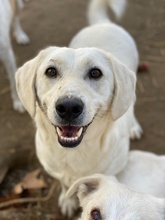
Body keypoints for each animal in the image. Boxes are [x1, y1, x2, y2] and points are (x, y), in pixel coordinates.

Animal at [15, 0, 142, 217]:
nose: (68, 107)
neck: (76, 152)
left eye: (95, 73)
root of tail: (102, 23)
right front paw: (67, 201)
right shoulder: (57, 171)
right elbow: (65, 185)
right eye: (51, 71)